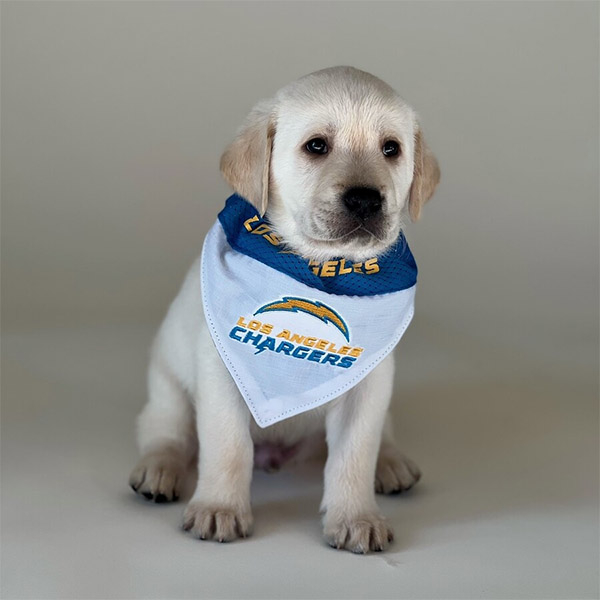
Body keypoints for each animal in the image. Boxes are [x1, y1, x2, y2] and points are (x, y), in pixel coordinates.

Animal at [130, 65, 440, 552]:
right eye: (316, 146)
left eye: (391, 149)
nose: (366, 199)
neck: (320, 270)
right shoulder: (220, 371)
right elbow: (228, 445)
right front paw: (220, 508)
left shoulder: (369, 386)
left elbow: (355, 453)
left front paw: (356, 517)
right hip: (167, 385)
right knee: (167, 432)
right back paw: (159, 468)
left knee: (381, 438)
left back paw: (392, 464)